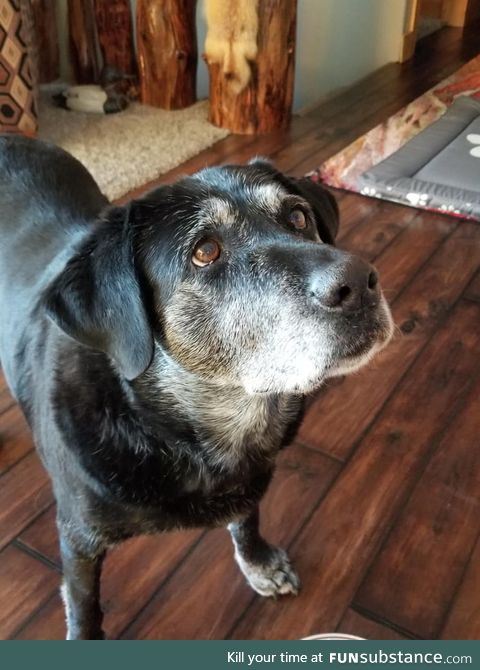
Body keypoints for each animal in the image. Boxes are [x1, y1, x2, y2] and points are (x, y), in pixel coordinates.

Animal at [0, 135, 392, 640]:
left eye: (298, 217)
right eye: (205, 251)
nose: (359, 282)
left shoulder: (250, 480)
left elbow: (247, 520)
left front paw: (258, 562)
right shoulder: (78, 537)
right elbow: (84, 603)